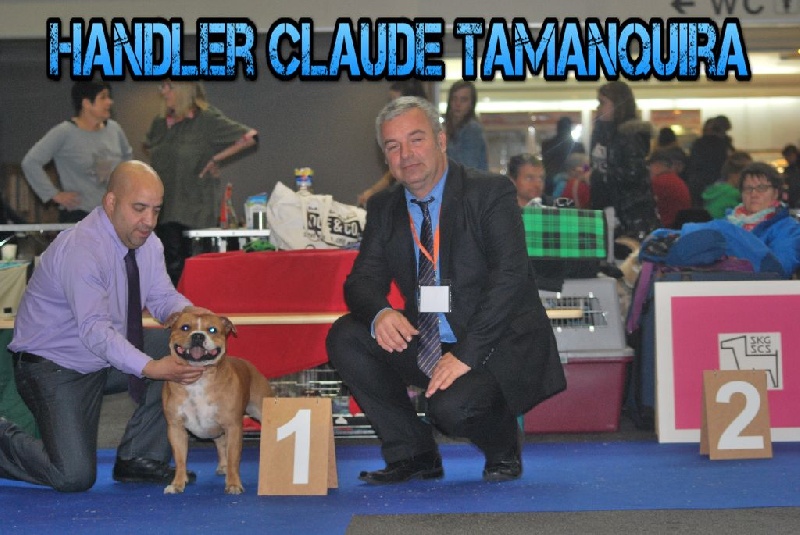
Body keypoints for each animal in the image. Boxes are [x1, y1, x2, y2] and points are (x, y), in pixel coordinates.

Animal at [162, 311, 273, 495]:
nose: (198, 336)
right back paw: (222, 466)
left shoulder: (233, 427)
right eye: (185, 327)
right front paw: (177, 483)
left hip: (261, 409)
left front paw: (234, 484)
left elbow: (234, 457)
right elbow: (180, 459)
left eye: (212, 329)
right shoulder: (175, 427)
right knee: (220, 443)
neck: (199, 379)